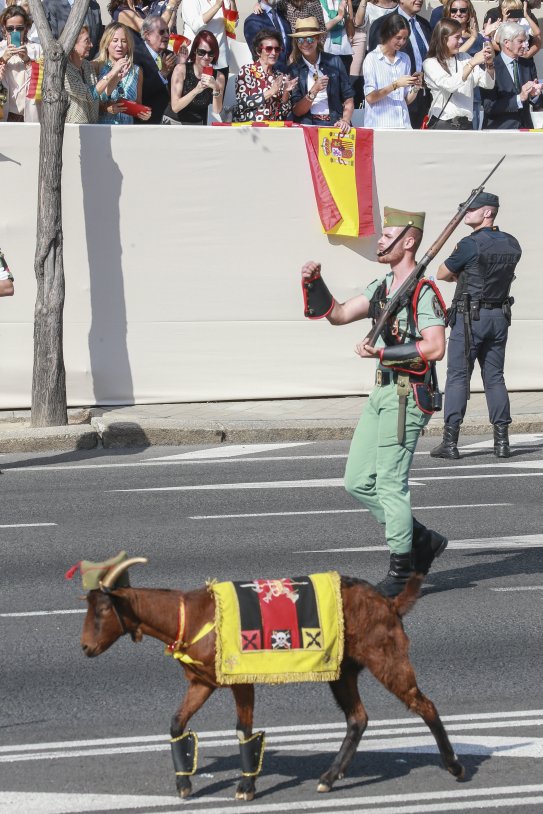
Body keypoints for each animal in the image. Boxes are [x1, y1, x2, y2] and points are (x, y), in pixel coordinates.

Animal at [79, 560, 464, 804]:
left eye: (103, 611)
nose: (85, 647)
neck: (191, 614)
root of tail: (390, 603)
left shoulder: (240, 678)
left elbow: (243, 731)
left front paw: (245, 788)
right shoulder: (202, 682)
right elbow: (177, 722)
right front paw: (184, 784)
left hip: (387, 656)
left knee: (423, 704)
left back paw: (455, 766)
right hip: (344, 669)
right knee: (358, 718)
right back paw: (328, 777)